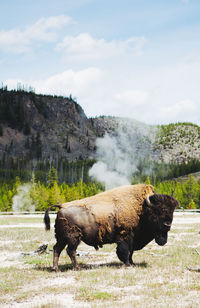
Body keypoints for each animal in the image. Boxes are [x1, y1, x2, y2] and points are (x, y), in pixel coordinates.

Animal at [44, 184, 178, 270]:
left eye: (172, 211)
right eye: (157, 211)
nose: (167, 224)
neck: (142, 208)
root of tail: (62, 206)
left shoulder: (132, 239)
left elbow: (131, 252)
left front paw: (132, 263)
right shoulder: (125, 236)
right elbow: (125, 251)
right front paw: (128, 264)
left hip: (62, 238)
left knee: (57, 249)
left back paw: (55, 268)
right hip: (74, 238)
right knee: (70, 251)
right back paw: (77, 268)